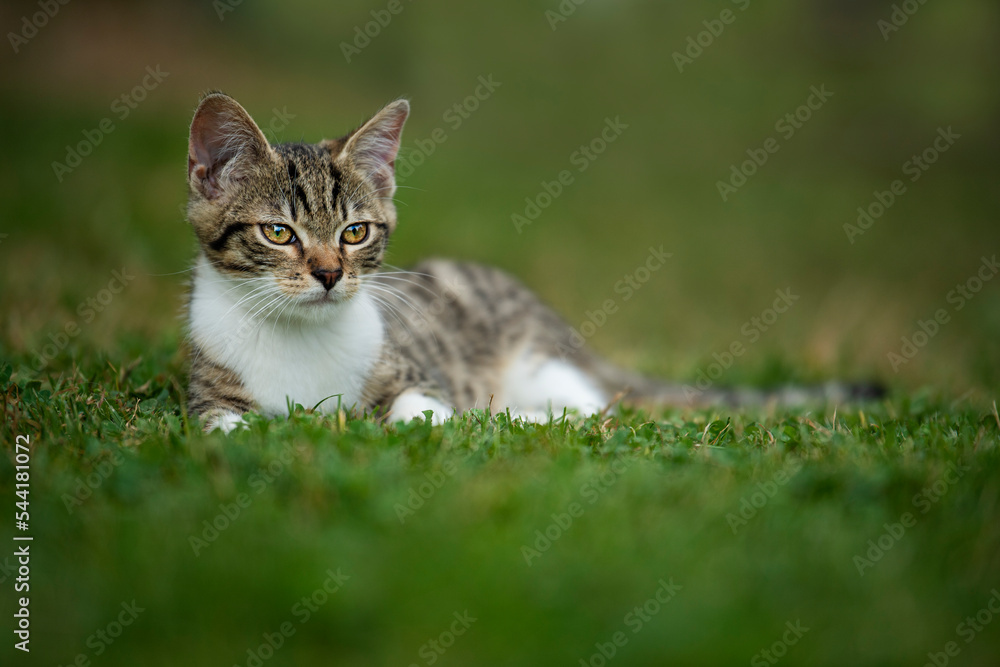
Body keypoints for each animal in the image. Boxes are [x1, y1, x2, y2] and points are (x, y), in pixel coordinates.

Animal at [188, 91, 876, 430]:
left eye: (355, 232)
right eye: (279, 232)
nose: (331, 274)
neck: (299, 341)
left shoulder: (417, 372)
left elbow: (423, 411)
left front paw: (444, 422)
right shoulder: (205, 392)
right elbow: (221, 428)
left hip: (540, 363)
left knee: (596, 407)